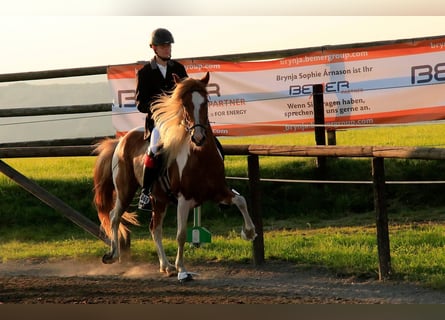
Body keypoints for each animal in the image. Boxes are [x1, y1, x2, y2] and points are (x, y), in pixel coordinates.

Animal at [93, 72, 256, 280]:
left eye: (205, 101)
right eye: (184, 104)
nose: (198, 137)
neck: (201, 157)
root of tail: (121, 140)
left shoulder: (220, 191)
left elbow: (241, 200)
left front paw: (249, 233)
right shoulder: (184, 199)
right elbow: (181, 235)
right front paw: (183, 270)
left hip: (159, 200)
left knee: (155, 228)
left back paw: (166, 266)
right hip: (125, 191)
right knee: (114, 216)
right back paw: (113, 255)